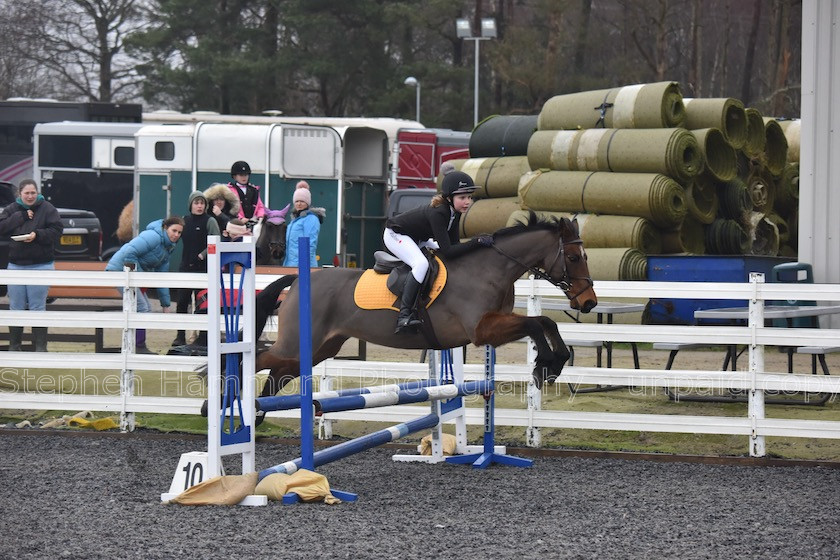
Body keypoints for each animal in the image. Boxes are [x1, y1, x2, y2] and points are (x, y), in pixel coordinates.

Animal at [253, 212, 592, 396]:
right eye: (574, 257)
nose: (588, 302)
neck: (490, 269)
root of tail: (298, 280)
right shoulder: (483, 330)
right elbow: (535, 323)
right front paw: (544, 365)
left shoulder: (494, 325)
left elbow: (545, 322)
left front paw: (556, 362)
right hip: (297, 345)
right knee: (260, 358)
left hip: (318, 349)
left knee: (276, 375)